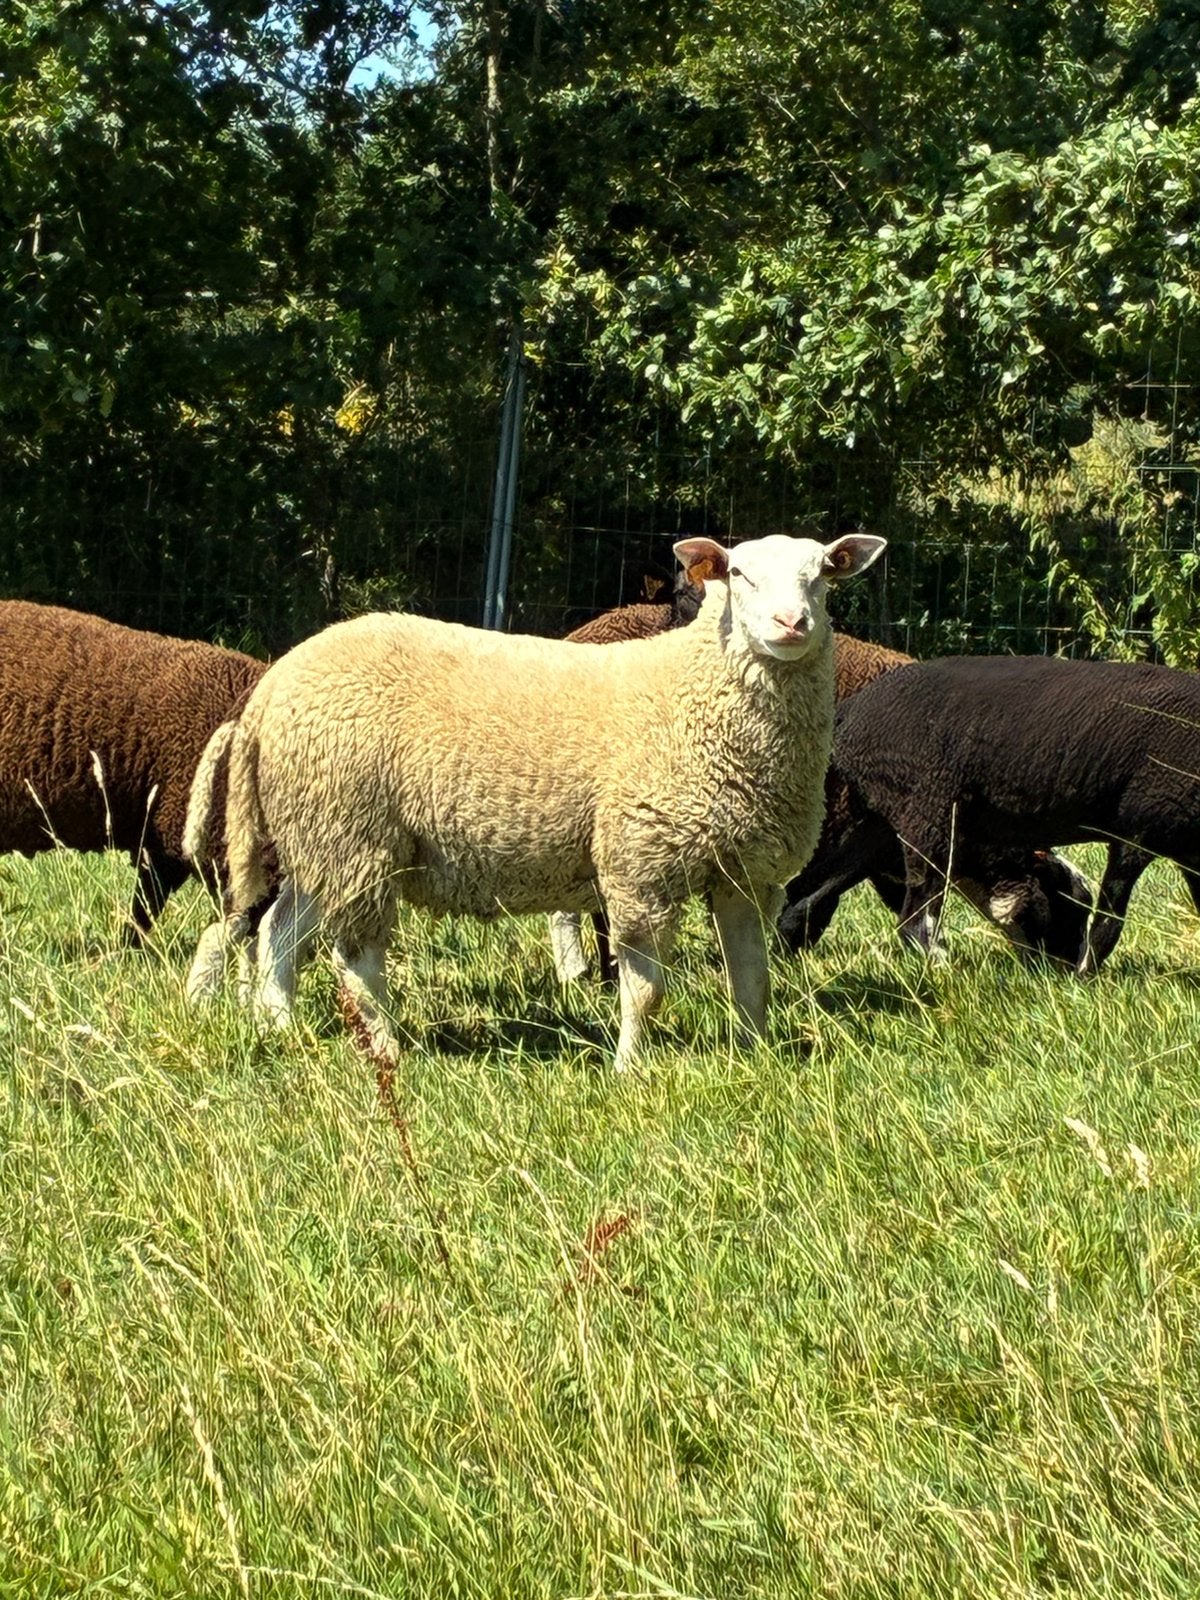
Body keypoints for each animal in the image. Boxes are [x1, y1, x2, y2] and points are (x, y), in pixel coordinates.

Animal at [205, 531, 886, 1069]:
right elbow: (645, 991)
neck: (692, 693)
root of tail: (270, 688)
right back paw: (387, 1048)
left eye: (822, 574)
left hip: (324, 835)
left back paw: (279, 1025)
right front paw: (630, 1069)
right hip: (354, 831)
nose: (792, 625)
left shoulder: (744, 873)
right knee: (357, 958)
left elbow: (751, 979)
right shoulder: (639, 865)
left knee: (280, 929)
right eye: (739, 574)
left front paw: (756, 1059)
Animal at [777, 654, 1199, 972]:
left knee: (807, 893)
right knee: (913, 920)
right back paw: (944, 971)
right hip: (928, 810)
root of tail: (847, 716)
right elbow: (1109, 924)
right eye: (1065, 905)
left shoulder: (1188, 852)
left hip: (882, 822)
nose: (1060, 972)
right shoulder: (1137, 829)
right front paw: (1087, 978)